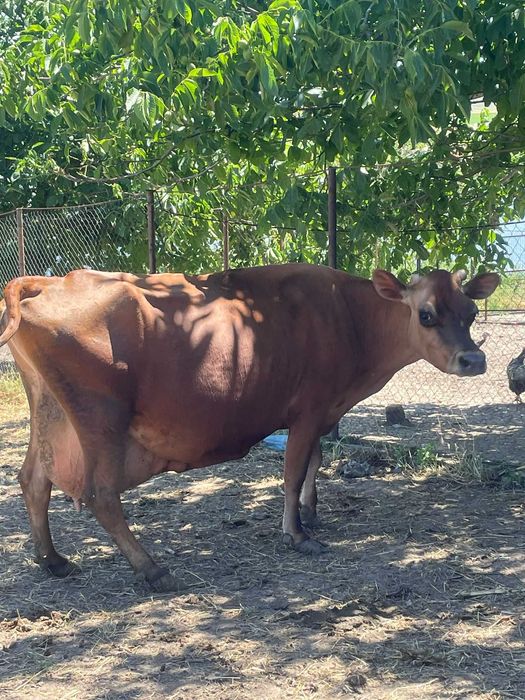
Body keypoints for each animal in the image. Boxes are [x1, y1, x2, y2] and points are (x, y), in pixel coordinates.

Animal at [0, 264, 499, 591]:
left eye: (472, 313)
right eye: (426, 313)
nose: (474, 359)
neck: (350, 316)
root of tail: (50, 281)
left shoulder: (321, 412)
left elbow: (315, 462)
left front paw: (310, 512)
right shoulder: (310, 409)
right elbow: (295, 469)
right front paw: (297, 534)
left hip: (51, 415)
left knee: (33, 480)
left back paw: (53, 560)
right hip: (100, 421)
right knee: (101, 494)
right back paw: (151, 568)